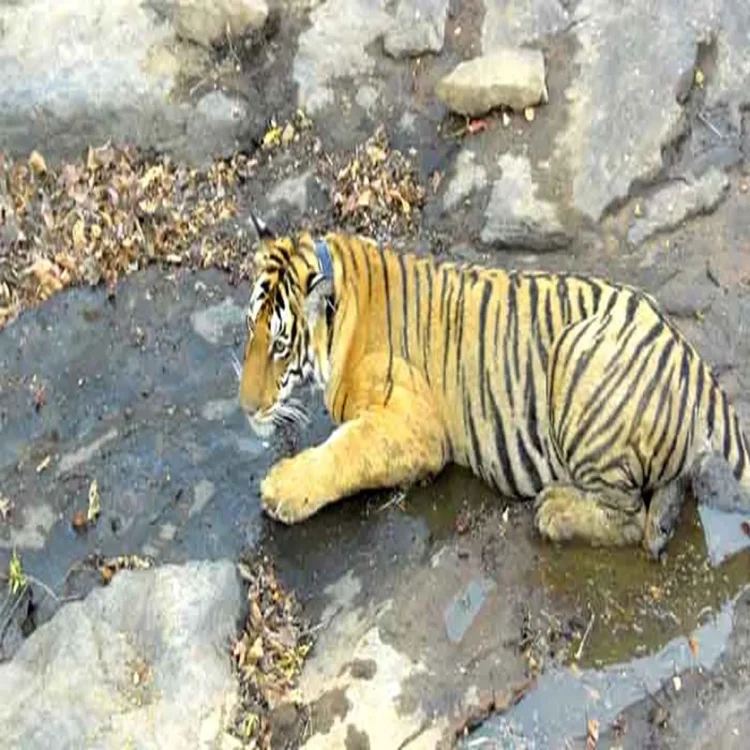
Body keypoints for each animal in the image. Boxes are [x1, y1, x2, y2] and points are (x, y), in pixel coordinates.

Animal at [238, 216, 750, 559]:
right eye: (249, 328)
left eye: (280, 344)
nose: (245, 407)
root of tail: (691, 360)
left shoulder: (414, 427)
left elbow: (345, 451)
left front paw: (281, 488)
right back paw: (660, 522)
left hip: (577, 363)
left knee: (627, 518)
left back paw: (556, 510)